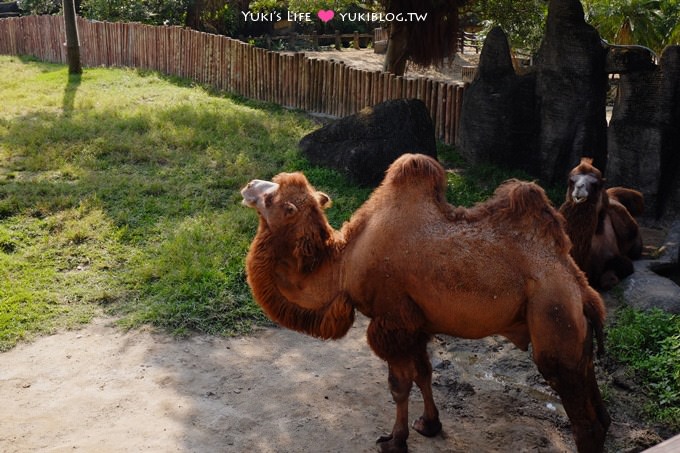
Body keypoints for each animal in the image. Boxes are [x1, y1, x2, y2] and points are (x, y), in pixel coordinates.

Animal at [240, 154, 612, 450]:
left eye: (271, 198)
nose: (248, 186)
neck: (344, 265)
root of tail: (582, 291)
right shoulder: (415, 323)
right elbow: (424, 373)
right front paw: (429, 425)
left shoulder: (391, 321)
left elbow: (399, 385)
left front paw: (395, 439)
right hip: (574, 335)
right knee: (596, 400)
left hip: (553, 318)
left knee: (584, 421)